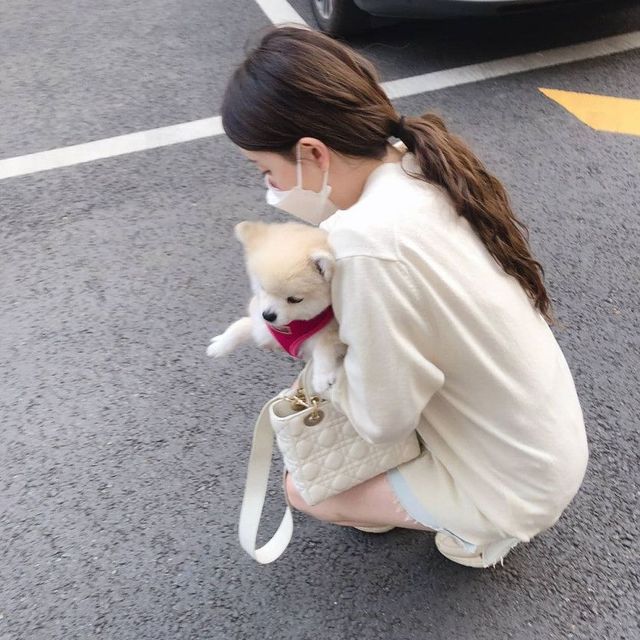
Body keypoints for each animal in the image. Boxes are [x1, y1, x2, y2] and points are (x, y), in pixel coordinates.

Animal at [206, 221, 346, 392]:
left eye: (294, 299)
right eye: (262, 288)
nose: (268, 315)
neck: (293, 325)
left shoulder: (335, 336)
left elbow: (324, 347)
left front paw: (322, 378)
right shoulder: (262, 327)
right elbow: (240, 326)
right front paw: (220, 345)